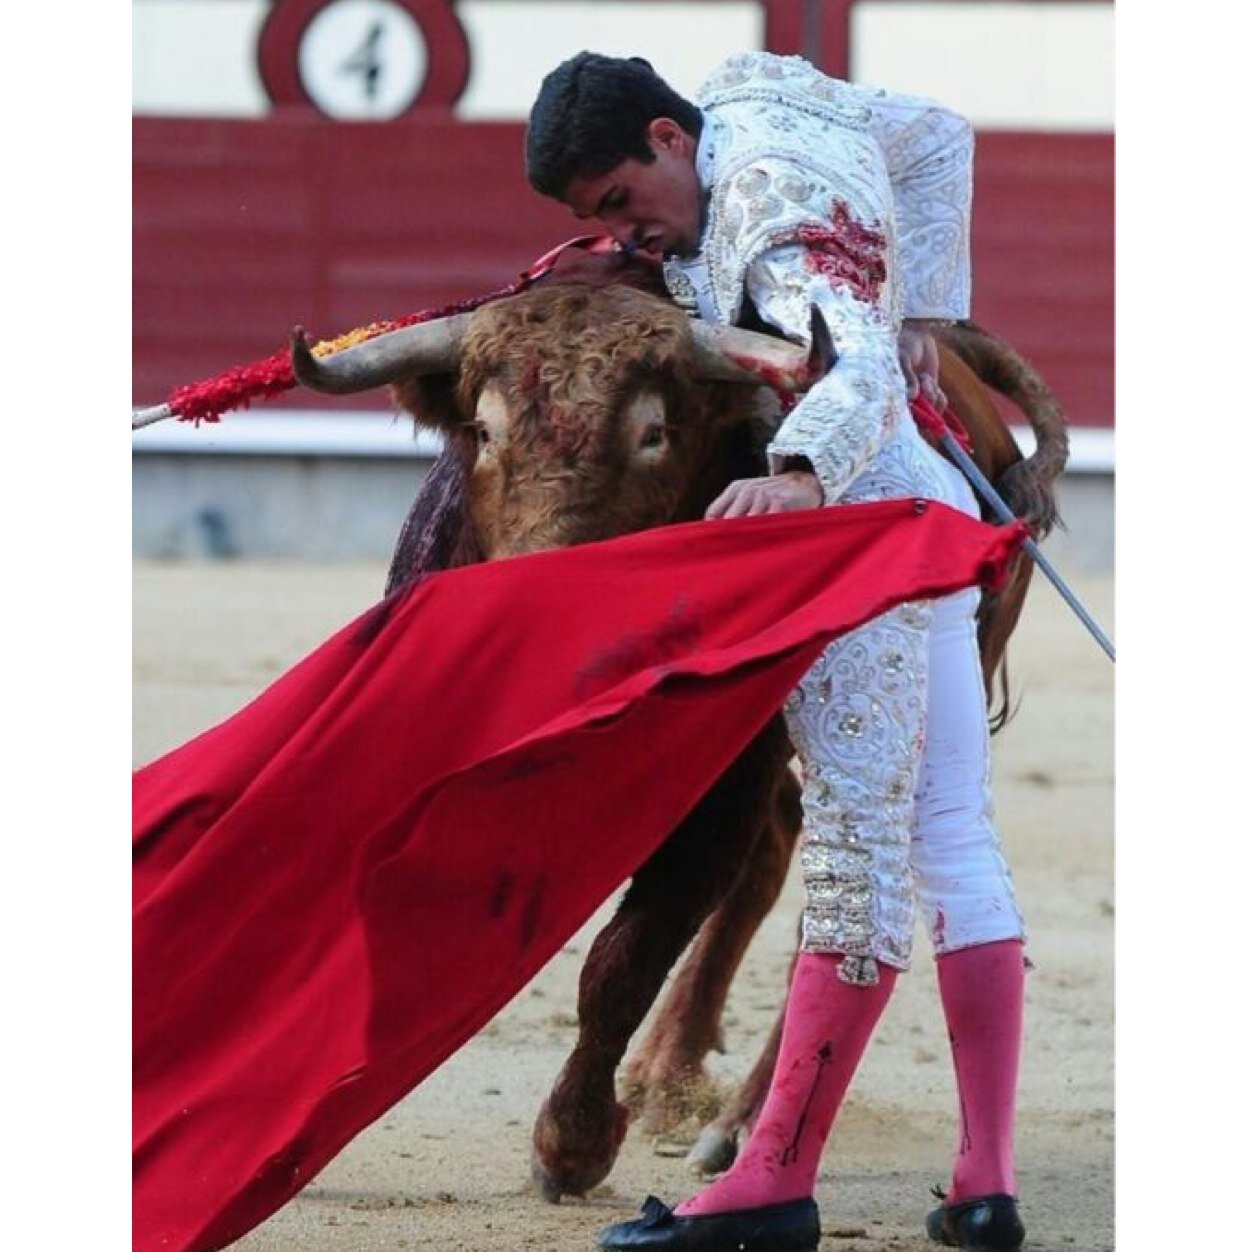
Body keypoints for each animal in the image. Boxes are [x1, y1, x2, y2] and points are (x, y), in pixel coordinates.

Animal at [292, 251, 1066, 1201]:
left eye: (655, 434)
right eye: (485, 430)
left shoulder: (718, 795)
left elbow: (624, 956)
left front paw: (572, 1144)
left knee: (839, 897)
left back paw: (734, 1129)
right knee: (779, 848)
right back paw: (666, 1074)